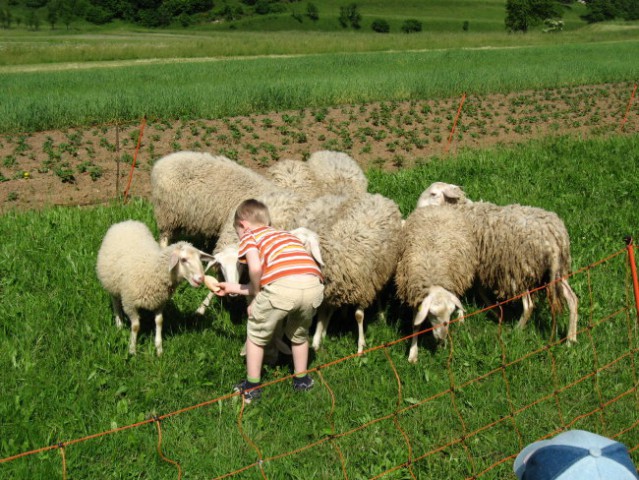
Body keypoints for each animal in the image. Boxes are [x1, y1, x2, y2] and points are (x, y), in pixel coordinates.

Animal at [95, 219, 215, 354]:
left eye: (199, 259)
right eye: (183, 259)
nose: (200, 279)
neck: (153, 270)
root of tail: (126, 222)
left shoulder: (160, 301)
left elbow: (159, 321)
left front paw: (159, 348)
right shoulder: (130, 303)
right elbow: (135, 326)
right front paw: (132, 350)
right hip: (112, 284)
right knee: (115, 302)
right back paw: (119, 324)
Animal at [292, 191, 402, 352]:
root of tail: (378, 196)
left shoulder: (363, 289)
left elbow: (358, 316)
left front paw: (361, 346)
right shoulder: (329, 291)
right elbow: (322, 314)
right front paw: (318, 339)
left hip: (382, 269)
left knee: (379, 292)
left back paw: (381, 314)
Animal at [396, 203, 480, 364]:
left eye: (450, 314)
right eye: (433, 314)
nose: (442, 338)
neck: (432, 276)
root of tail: (438, 207)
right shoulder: (416, 295)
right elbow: (416, 325)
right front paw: (413, 352)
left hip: (462, 271)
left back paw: (461, 315)